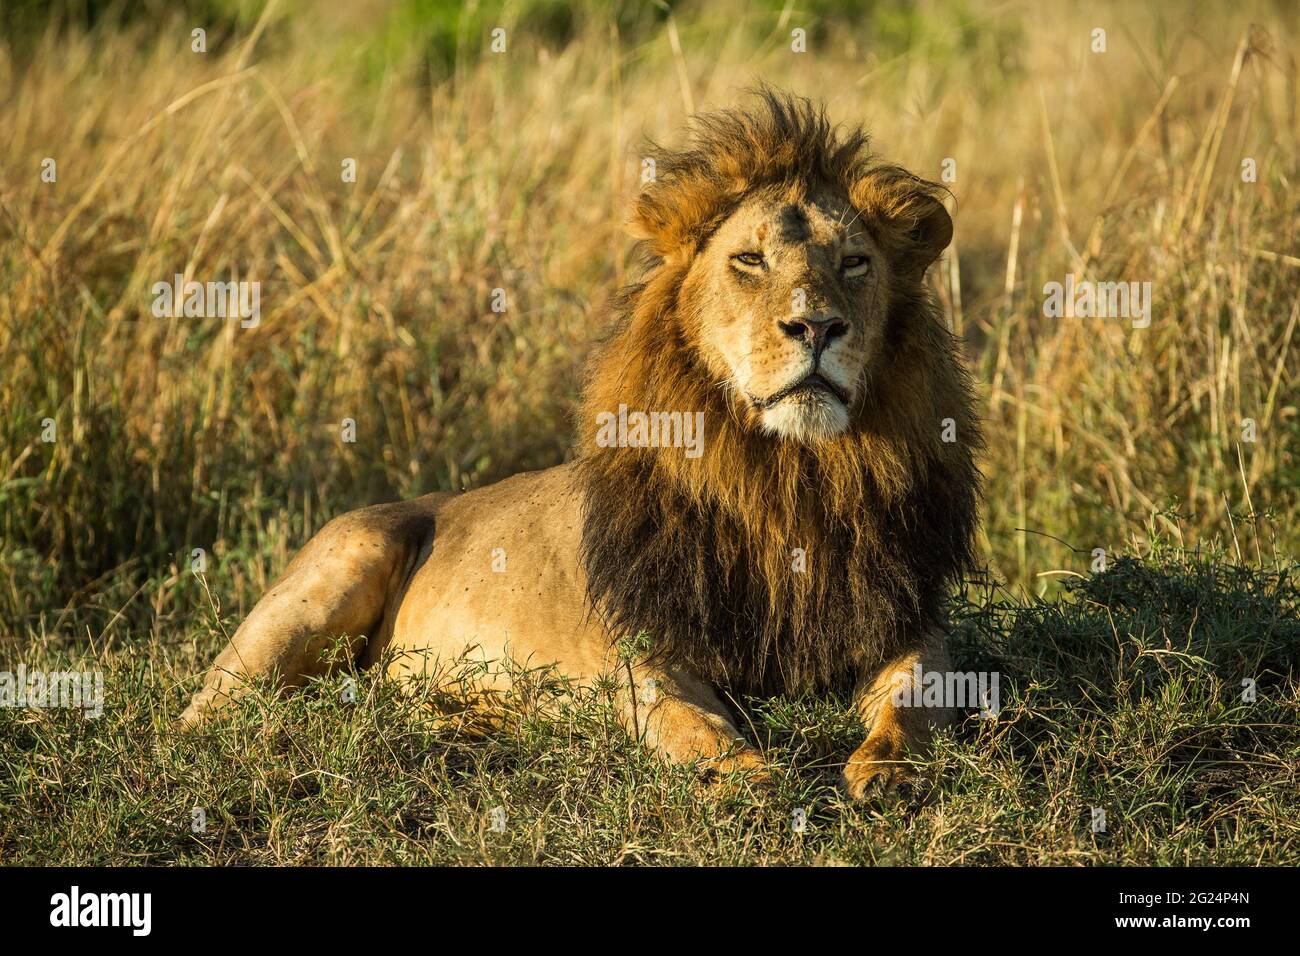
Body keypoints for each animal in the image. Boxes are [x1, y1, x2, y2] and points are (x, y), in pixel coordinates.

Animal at [181, 90, 982, 798]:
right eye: (750, 261)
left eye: (854, 263)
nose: (817, 326)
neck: (787, 478)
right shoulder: (643, 646)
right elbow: (691, 722)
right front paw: (746, 779)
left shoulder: (908, 618)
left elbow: (913, 698)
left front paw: (888, 770)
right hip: (335, 569)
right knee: (210, 713)